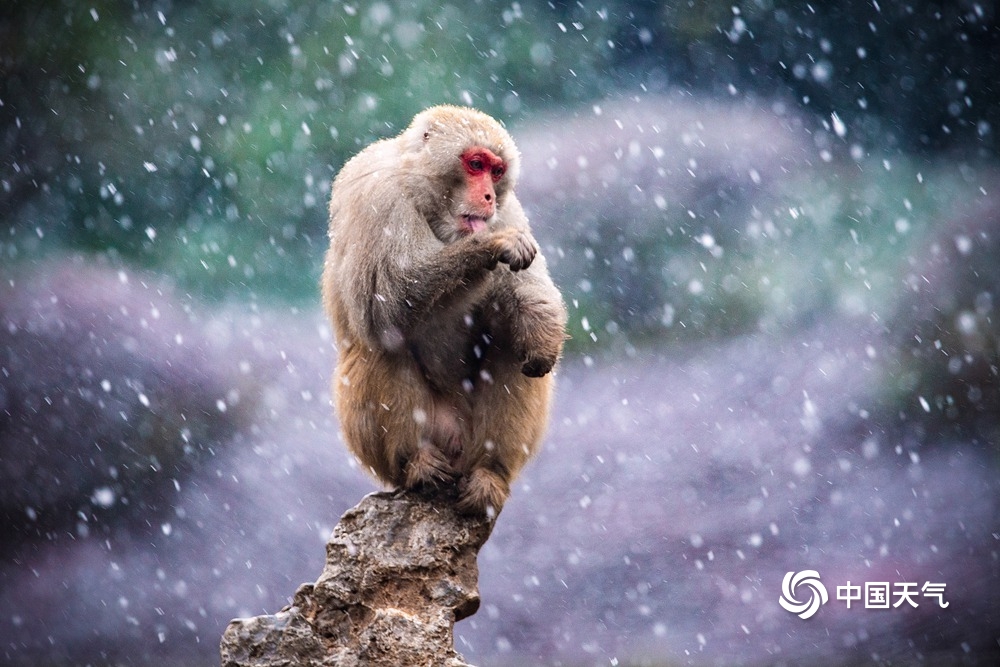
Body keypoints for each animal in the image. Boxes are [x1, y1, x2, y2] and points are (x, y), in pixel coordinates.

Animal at [324, 105, 568, 516]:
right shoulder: (378, 194)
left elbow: (527, 294)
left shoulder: (509, 210)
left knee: (508, 346)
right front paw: (490, 246)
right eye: (475, 164)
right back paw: (418, 465)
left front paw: (542, 336)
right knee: (384, 340)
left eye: (497, 171)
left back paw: (489, 474)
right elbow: (387, 300)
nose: (488, 196)